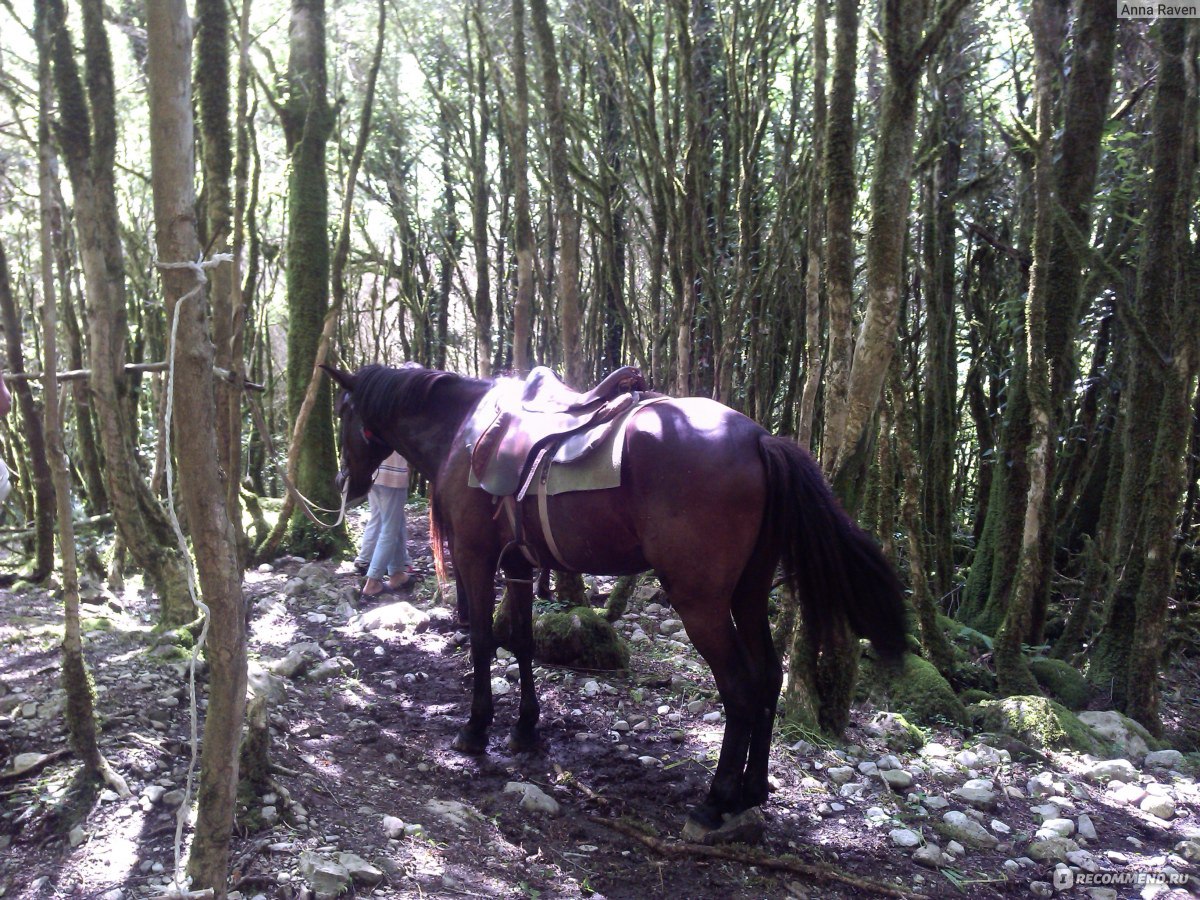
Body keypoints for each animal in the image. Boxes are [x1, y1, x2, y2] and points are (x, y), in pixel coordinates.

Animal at [324, 364, 902, 840]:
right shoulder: (519, 566)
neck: (463, 430)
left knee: (739, 687)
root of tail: (762, 439)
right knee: (769, 677)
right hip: (749, 592)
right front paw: (525, 729)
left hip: (702, 602)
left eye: (343, 414)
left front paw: (475, 729)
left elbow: (485, 642)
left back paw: (714, 803)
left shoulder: (476, 556)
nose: (344, 482)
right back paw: (752, 791)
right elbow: (523, 643)